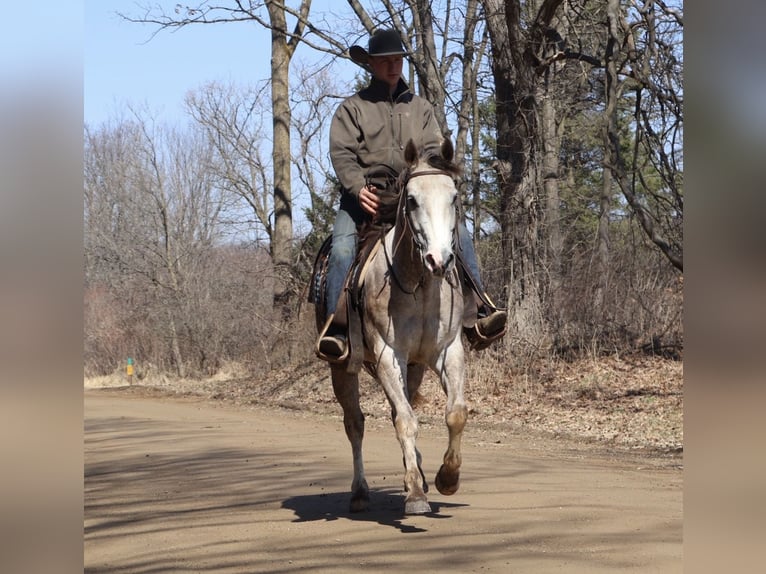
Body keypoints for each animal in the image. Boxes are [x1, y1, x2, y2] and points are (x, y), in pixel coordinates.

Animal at [310, 138, 469, 515]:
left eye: (454, 196)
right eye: (411, 200)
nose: (439, 260)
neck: (420, 286)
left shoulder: (448, 351)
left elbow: (455, 414)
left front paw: (446, 478)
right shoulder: (387, 355)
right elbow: (405, 421)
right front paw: (415, 496)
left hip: (413, 368)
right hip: (342, 367)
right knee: (355, 423)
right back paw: (360, 493)